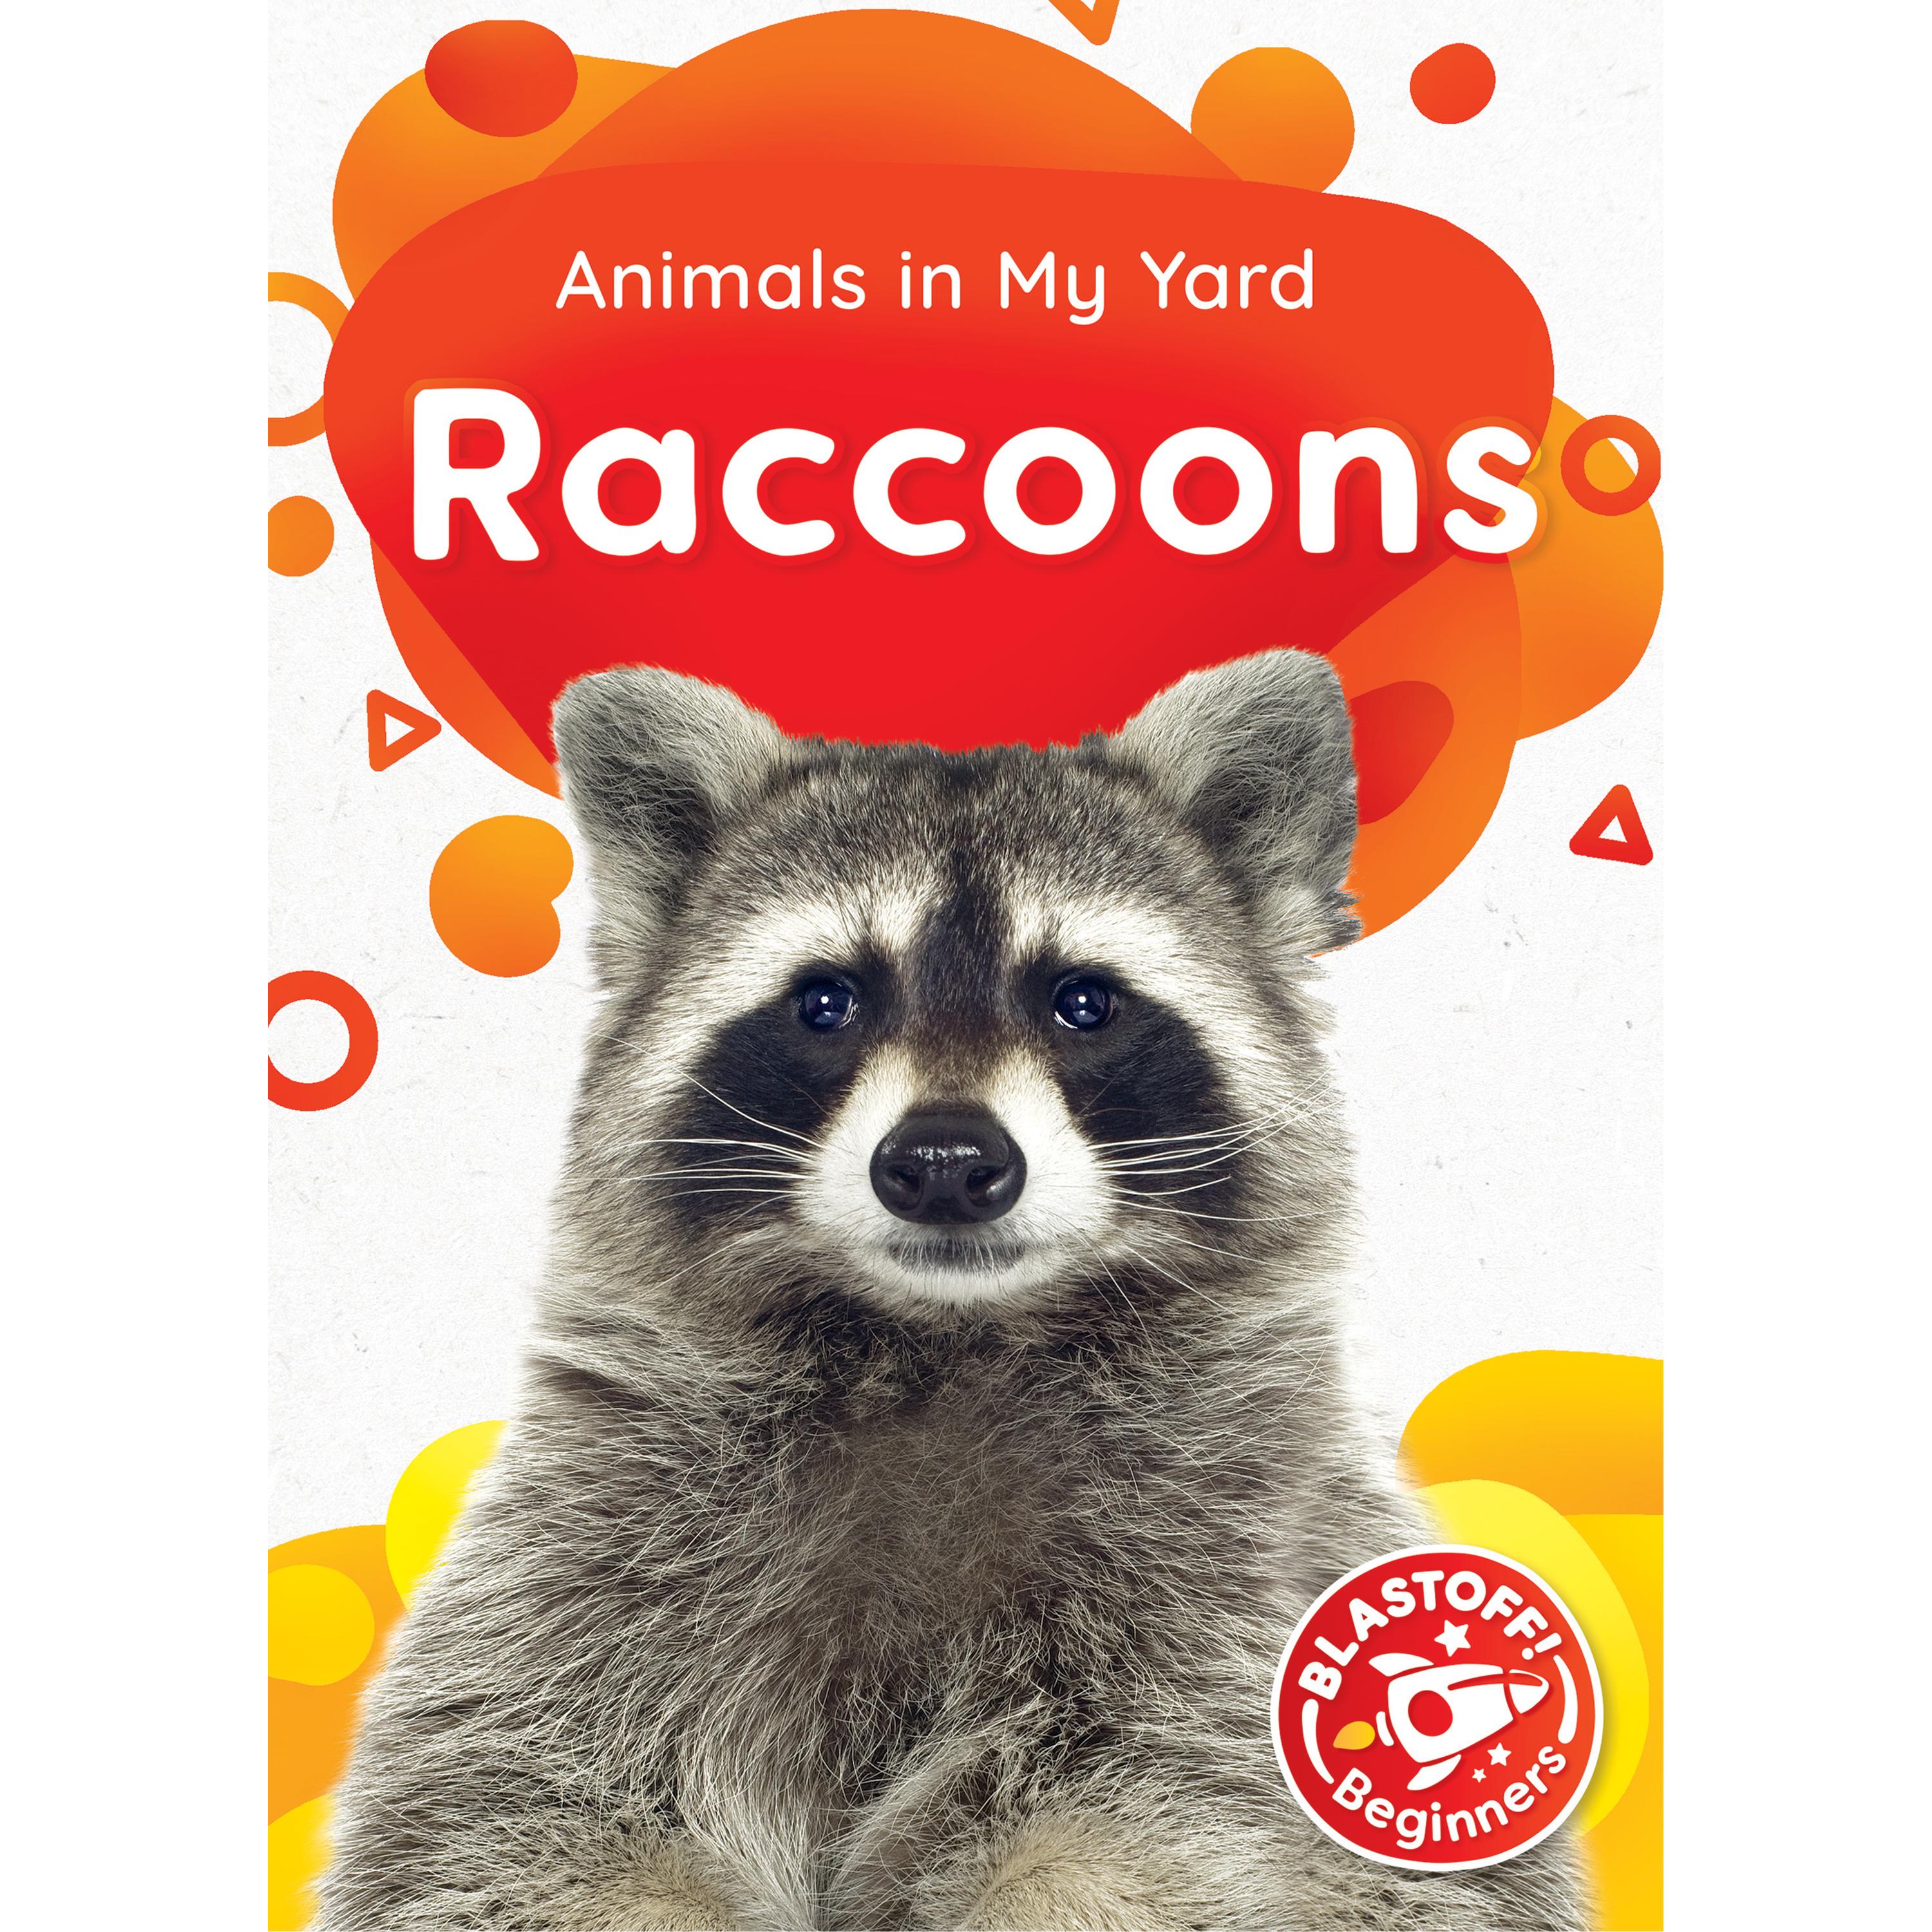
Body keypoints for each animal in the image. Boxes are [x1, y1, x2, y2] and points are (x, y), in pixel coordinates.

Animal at [320, 650, 1586, 1932]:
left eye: (1083, 1001)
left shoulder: (1236, 1571)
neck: (938, 1342)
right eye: (826, 1002)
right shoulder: (582, 1554)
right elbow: (516, 1818)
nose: (943, 1163)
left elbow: (1161, 1818)